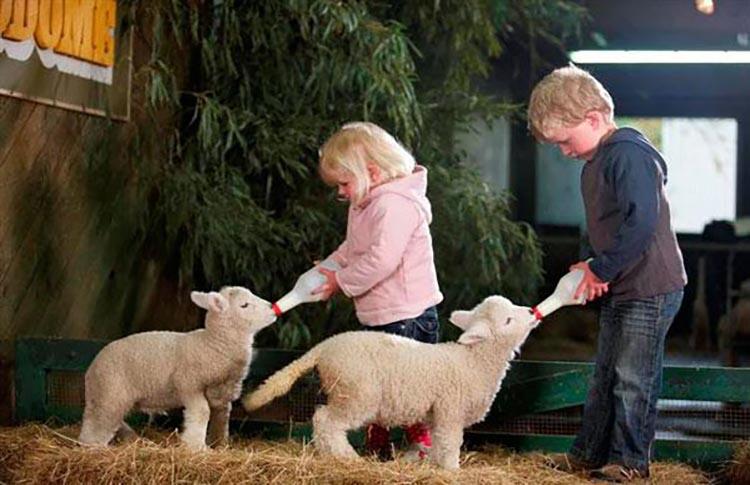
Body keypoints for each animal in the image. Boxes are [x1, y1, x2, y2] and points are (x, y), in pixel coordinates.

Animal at [78, 286, 276, 448]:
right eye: (244, 305)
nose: (272, 308)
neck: (213, 344)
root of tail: (91, 369)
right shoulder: (188, 384)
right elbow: (202, 412)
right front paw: (195, 445)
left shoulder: (222, 395)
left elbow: (222, 419)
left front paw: (220, 445)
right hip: (110, 395)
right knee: (98, 426)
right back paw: (94, 447)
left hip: (106, 397)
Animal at [244, 294, 536, 466]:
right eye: (508, 320)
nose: (532, 313)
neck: (474, 361)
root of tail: (324, 347)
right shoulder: (451, 410)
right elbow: (451, 444)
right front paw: (452, 471)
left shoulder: (437, 414)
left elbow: (437, 442)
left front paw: (431, 466)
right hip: (357, 394)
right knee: (326, 421)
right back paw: (347, 457)